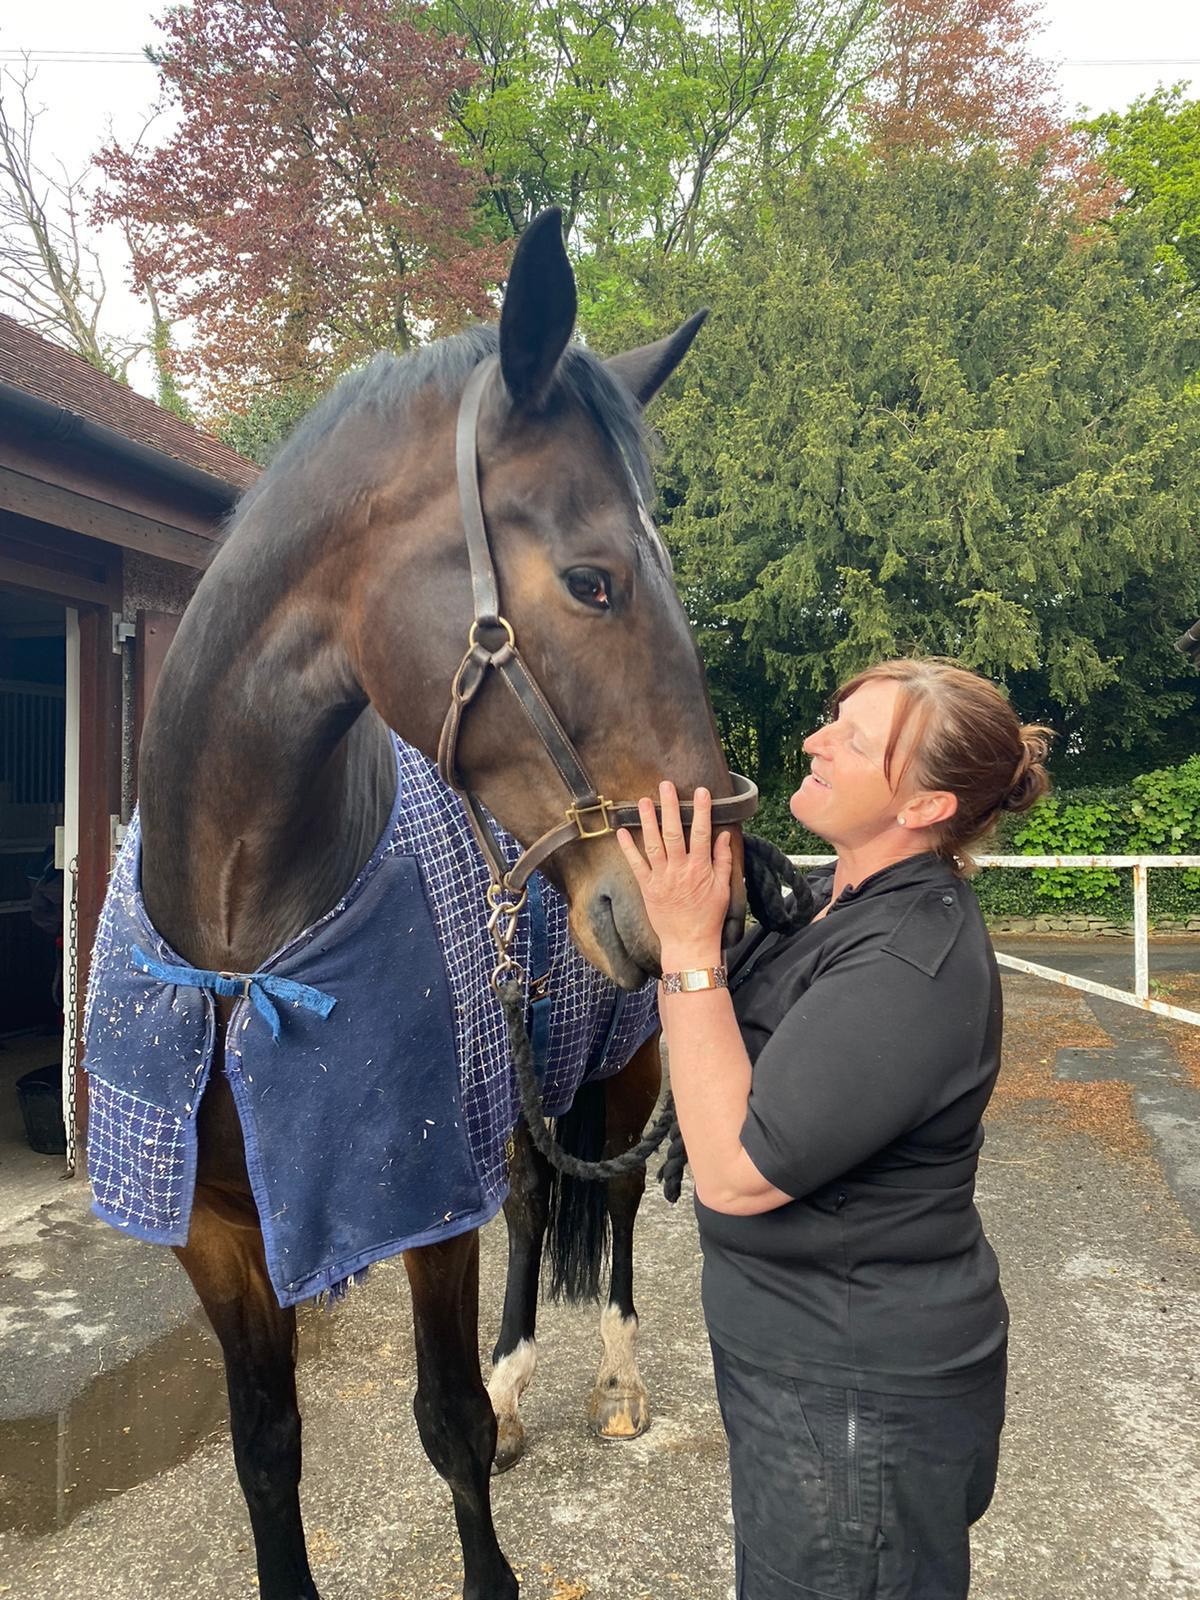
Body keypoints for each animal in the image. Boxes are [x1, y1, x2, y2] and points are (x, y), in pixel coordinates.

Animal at [83, 208, 752, 1600]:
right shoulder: (214, 1236)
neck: (243, 954)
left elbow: (441, 1426)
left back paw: (610, 1383)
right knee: (536, 1200)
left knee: (608, 1210)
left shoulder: (423, 1206)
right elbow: (265, 1448)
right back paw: (519, 1383)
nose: (705, 897)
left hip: (625, 1066)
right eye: (595, 581)